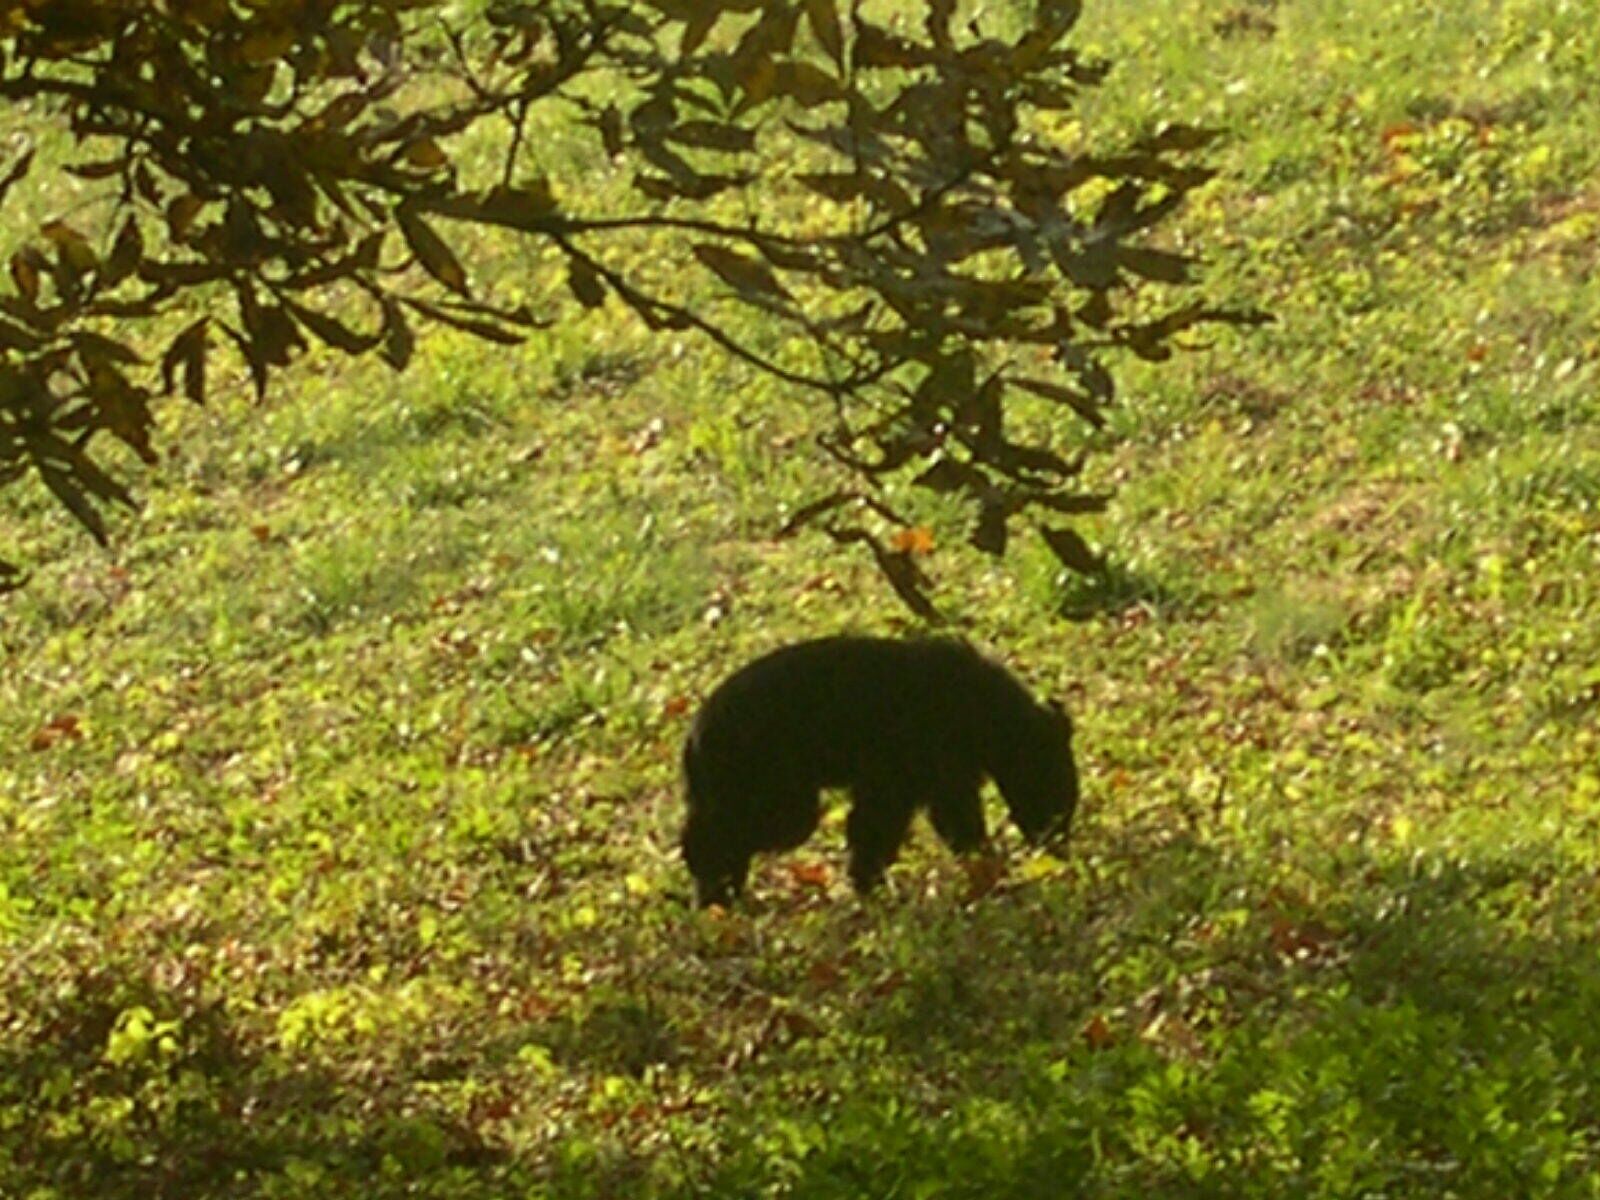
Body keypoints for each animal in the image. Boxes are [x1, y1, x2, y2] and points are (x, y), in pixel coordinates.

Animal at [680, 636, 1078, 906]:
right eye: (1056, 800)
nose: (1058, 849)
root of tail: (695, 734)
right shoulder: (919, 755)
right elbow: (910, 819)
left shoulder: (931, 769)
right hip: (766, 774)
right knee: (751, 826)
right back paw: (712, 885)